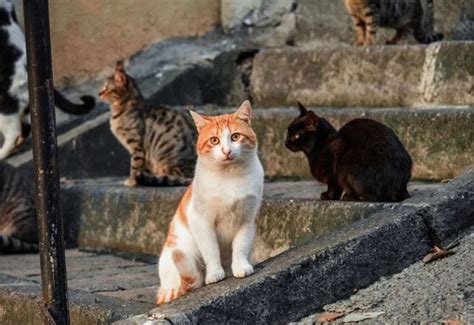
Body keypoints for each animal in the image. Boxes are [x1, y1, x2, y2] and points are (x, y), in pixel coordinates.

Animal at [156, 100, 264, 302]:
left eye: (235, 137)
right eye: (214, 140)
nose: (226, 151)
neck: (230, 177)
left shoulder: (247, 219)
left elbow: (240, 246)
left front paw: (240, 267)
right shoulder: (202, 221)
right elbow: (211, 250)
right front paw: (215, 274)